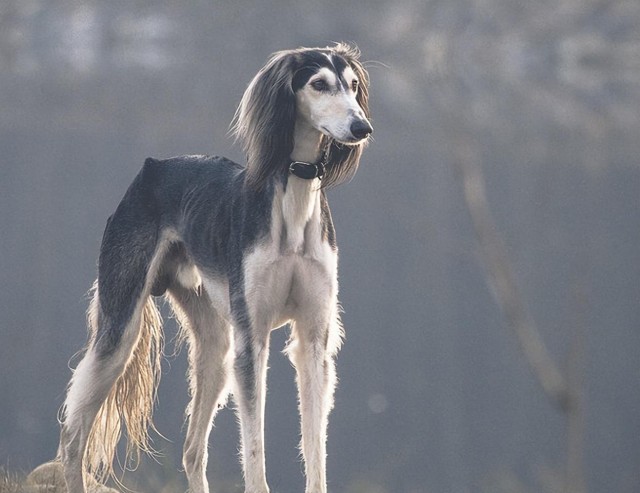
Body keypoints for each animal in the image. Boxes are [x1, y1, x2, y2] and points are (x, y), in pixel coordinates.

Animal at [57, 43, 372, 492]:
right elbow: (254, 449)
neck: (294, 197)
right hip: (120, 328)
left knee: (192, 450)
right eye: (318, 84)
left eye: (353, 85)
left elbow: (315, 449)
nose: (361, 127)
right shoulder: (252, 339)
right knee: (72, 437)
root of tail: (153, 167)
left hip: (215, 345)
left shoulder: (314, 340)